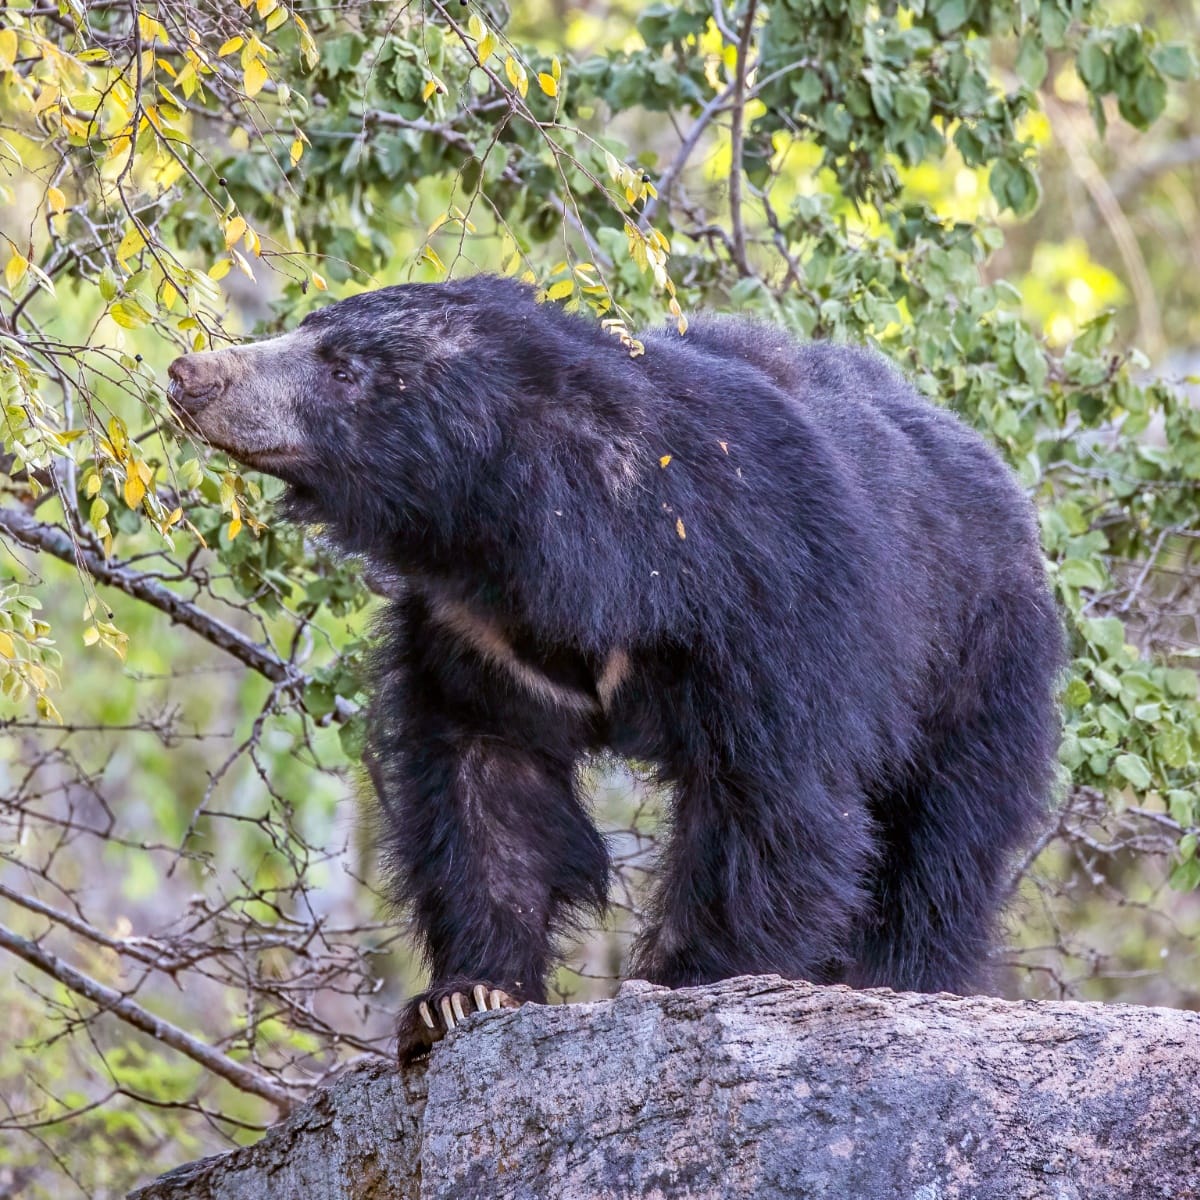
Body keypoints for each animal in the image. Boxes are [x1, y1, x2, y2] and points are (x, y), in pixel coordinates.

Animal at [166, 275, 1063, 1063]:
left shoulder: (766, 595)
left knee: (943, 846)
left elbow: (771, 797)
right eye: (307, 330)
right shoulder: (475, 635)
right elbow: (487, 784)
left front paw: (690, 978)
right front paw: (463, 996)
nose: (190, 373)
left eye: (343, 370)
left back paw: (904, 977)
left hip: (978, 663)